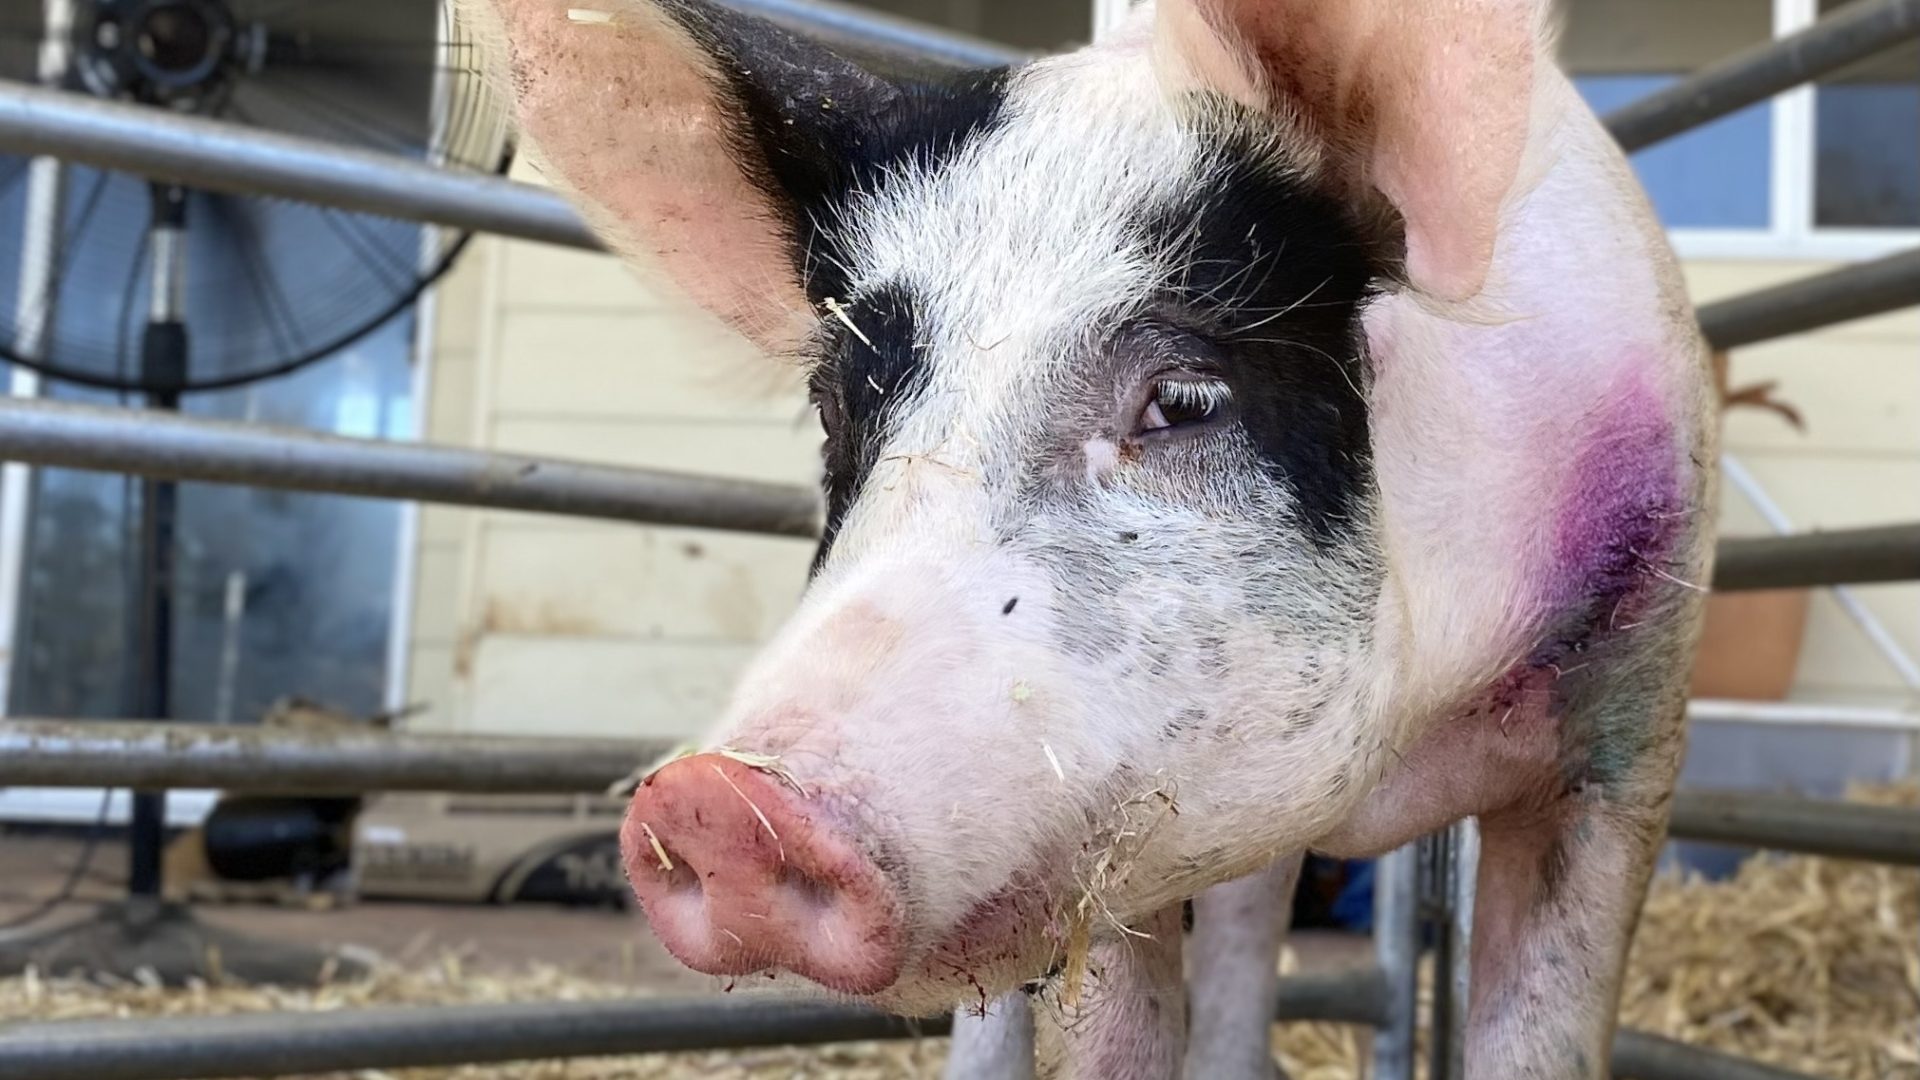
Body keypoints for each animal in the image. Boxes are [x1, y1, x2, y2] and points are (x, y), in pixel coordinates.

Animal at [472, 0, 1720, 1068]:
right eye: (837, 407)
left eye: (1185, 398)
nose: (720, 800)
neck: (1402, 747)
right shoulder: (1112, 849)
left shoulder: (1629, 714)